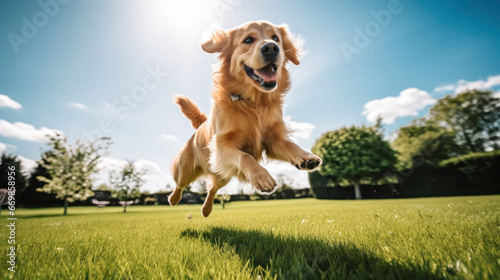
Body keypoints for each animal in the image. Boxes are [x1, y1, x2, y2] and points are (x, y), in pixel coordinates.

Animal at [168, 20, 322, 217]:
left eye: (276, 39)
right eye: (248, 40)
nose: (271, 48)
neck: (253, 102)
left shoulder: (273, 140)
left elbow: (290, 145)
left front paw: (305, 156)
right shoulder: (222, 145)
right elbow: (245, 157)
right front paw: (262, 177)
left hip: (222, 175)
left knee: (212, 188)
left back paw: (206, 210)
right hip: (186, 170)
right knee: (180, 184)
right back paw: (173, 199)